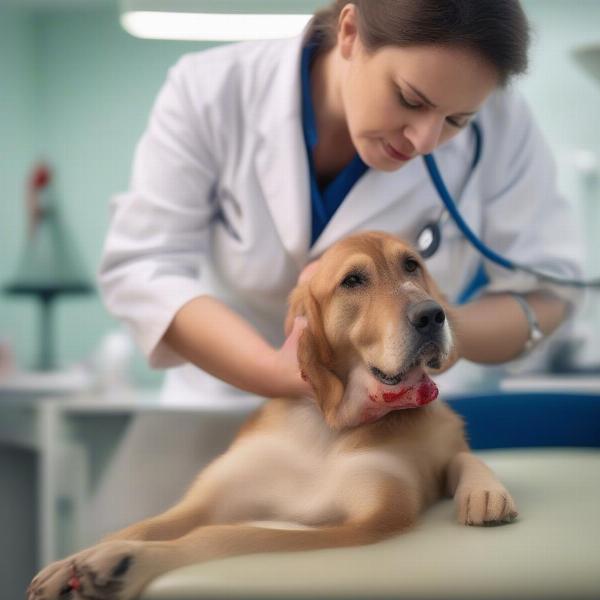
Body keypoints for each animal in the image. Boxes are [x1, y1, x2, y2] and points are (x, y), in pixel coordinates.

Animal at [27, 231, 516, 600]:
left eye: (412, 265)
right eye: (353, 280)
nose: (432, 314)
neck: (328, 426)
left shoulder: (367, 522)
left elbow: (219, 537)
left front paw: (129, 560)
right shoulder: (209, 500)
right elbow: (143, 525)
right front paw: (69, 562)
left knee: (464, 457)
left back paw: (484, 493)